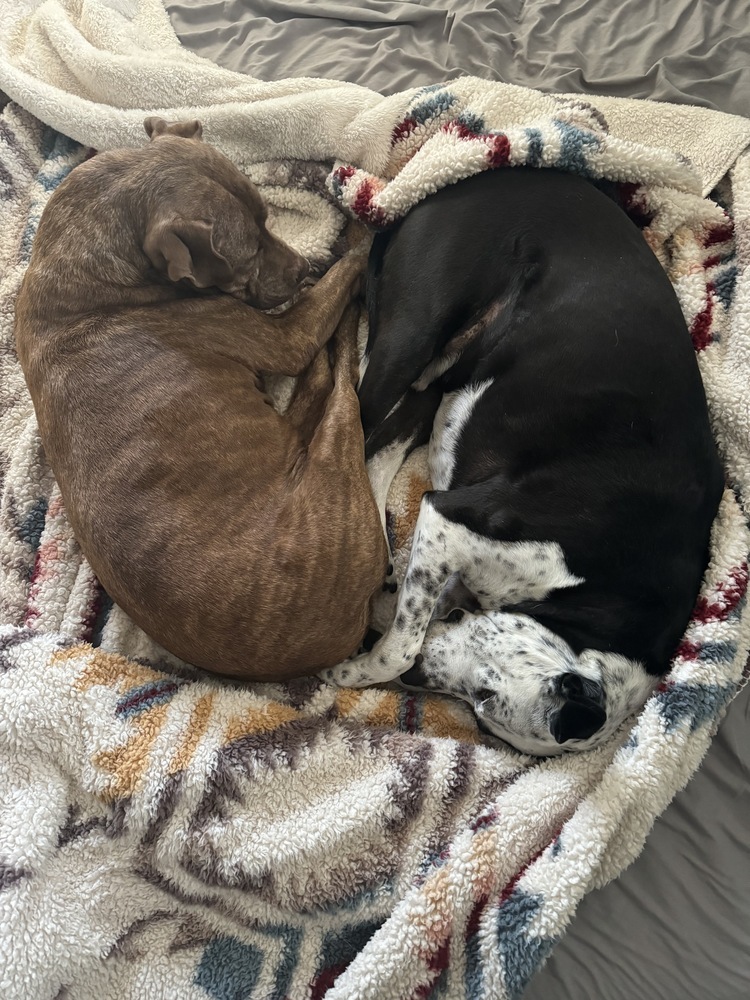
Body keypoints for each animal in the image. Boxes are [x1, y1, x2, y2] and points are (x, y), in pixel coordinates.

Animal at [15, 117, 390, 680]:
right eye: (248, 253)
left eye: (268, 220)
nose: (302, 269)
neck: (86, 271)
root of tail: (342, 639)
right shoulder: (288, 336)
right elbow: (344, 274)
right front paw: (363, 238)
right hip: (336, 446)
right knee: (336, 376)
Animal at [320, 168, 724, 752]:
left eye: (483, 710)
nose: (416, 681)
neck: (601, 594)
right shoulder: (450, 518)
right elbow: (398, 645)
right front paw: (348, 671)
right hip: (411, 340)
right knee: (356, 431)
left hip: (442, 378)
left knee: (377, 453)